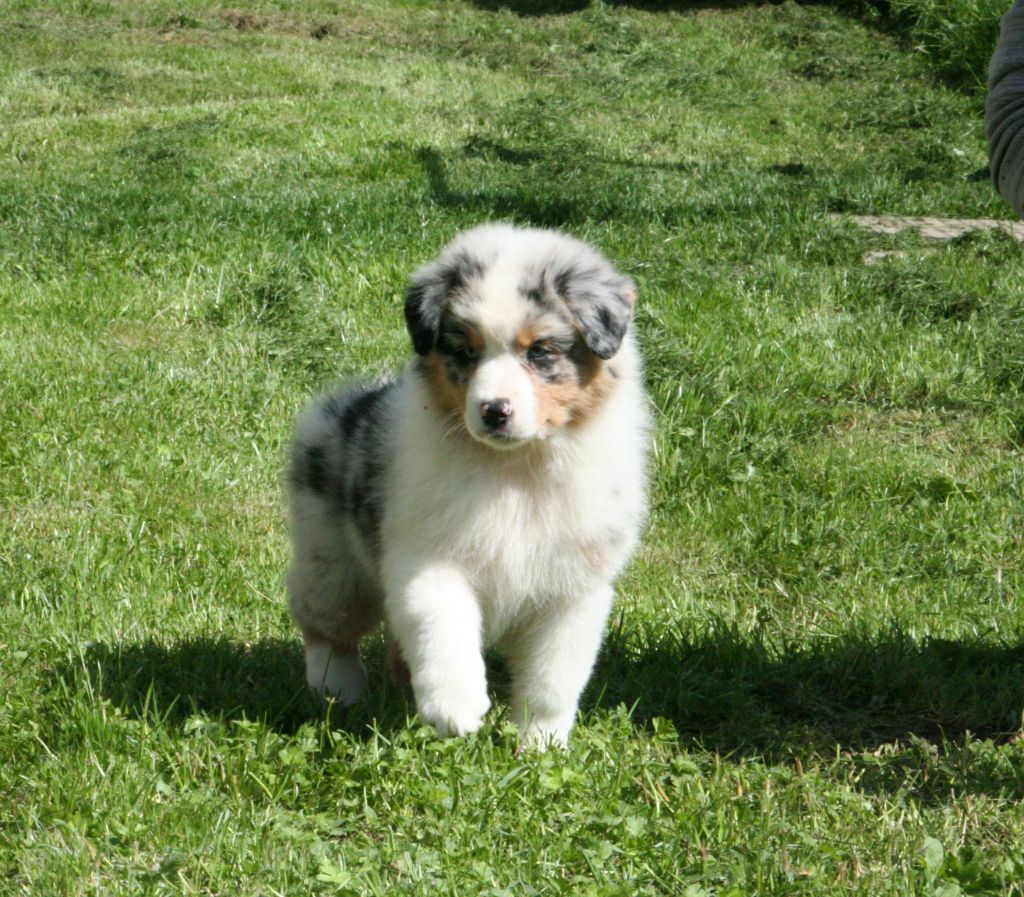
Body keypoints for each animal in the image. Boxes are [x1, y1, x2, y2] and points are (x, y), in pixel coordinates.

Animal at [287, 223, 649, 746]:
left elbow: (552, 681)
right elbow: (444, 627)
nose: (494, 410)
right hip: (332, 560)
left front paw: (542, 746)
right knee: (324, 624)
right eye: (465, 352)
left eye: (539, 352)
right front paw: (455, 709)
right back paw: (339, 687)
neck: (514, 470)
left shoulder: (572, 589)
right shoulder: (428, 557)